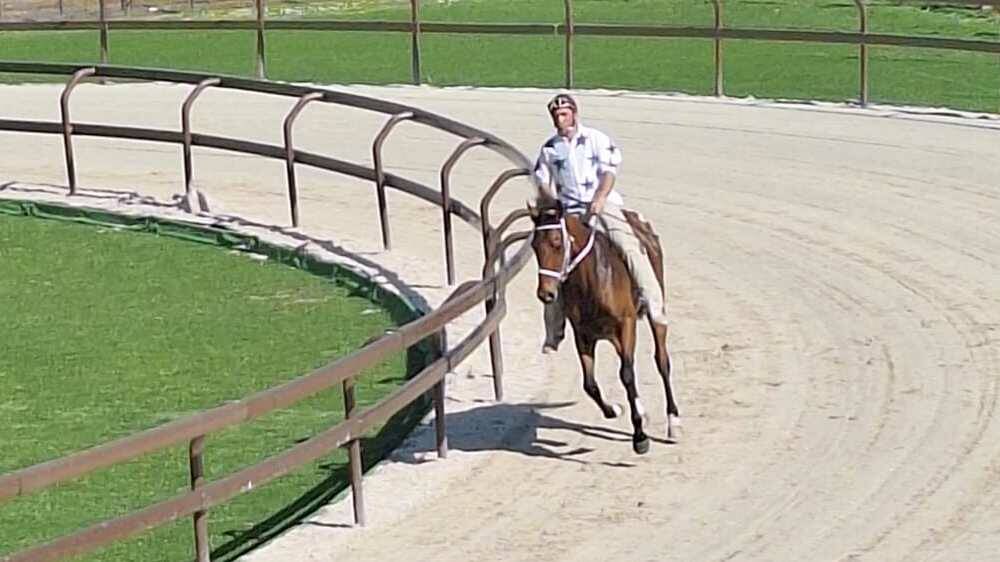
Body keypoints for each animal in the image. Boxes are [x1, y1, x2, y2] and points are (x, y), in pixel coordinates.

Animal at [524, 190, 680, 452]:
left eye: (556, 242)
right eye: (535, 246)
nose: (546, 294)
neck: (594, 280)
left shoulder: (626, 326)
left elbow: (627, 374)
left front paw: (640, 436)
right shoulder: (583, 335)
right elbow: (590, 384)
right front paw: (614, 409)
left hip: (654, 311)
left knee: (662, 362)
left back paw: (673, 422)